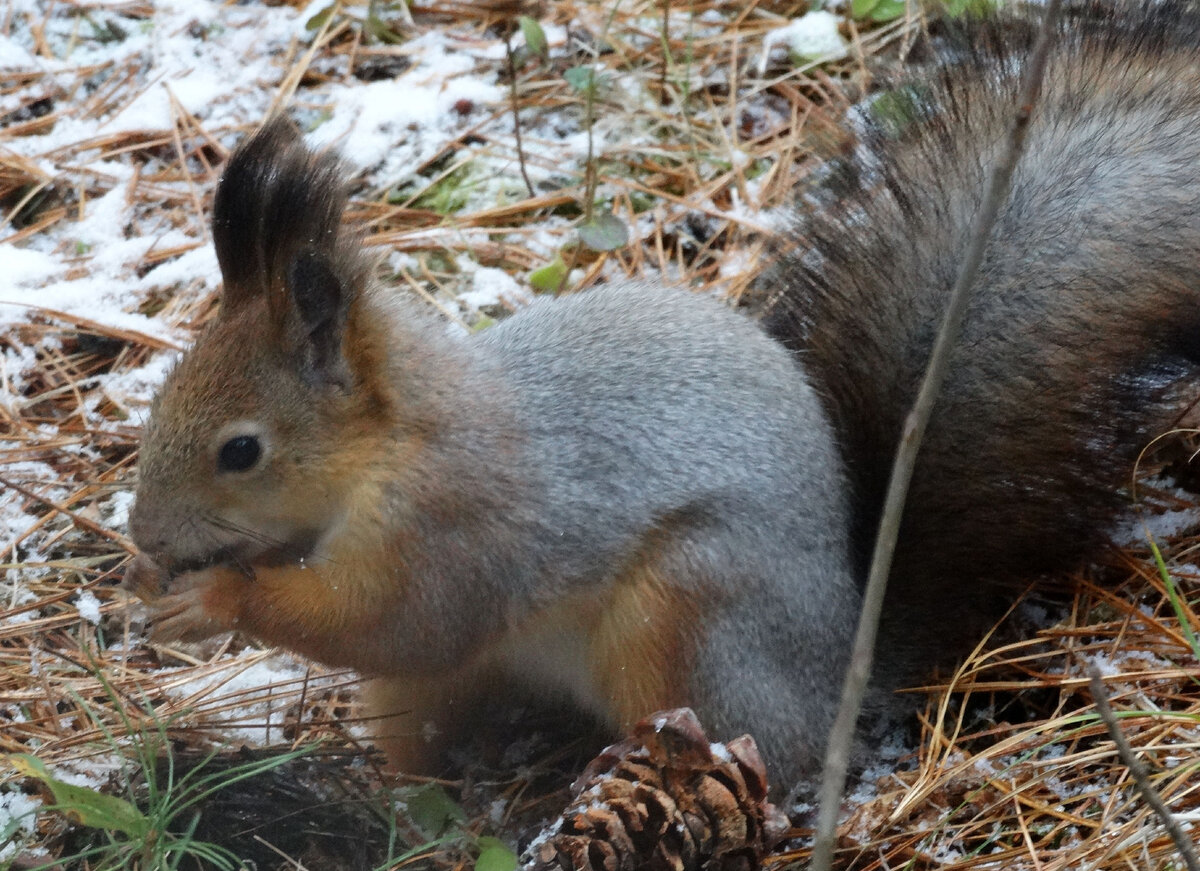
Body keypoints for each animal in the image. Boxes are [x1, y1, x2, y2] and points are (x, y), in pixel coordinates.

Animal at [124, 1, 1200, 791]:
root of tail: (841, 674)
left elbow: (390, 618)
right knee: (421, 732)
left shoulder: (453, 523)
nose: (143, 538)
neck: (390, 443)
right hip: (439, 689)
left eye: (241, 449)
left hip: (686, 614)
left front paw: (213, 598)